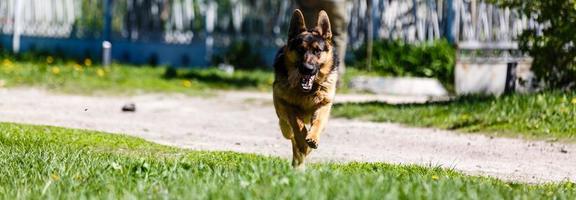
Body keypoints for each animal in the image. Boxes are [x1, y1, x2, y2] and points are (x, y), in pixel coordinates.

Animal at [274, 9, 338, 169]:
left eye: (317, 51)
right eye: (300, 50)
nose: (307, 69)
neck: (308, 91)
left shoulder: (324, 105)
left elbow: (318, 122)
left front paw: (312, 138)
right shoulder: (289, 106)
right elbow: (298, 126)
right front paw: (303, 142)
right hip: (280, 108)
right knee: (288, 130)